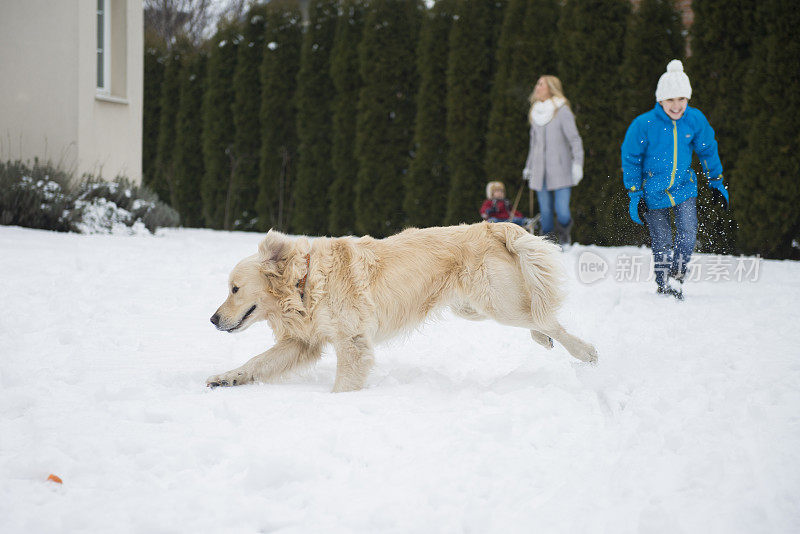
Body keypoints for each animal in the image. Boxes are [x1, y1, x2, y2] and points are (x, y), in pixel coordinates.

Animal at [206, 222, 592, 394]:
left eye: (234, 289)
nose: (212, 319)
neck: (304, 284)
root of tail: (491, 226)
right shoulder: (303, 343)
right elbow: (257, 362)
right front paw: (226, 377)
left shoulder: (353, 343)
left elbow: (343, 383)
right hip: (471, 307)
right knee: (538, 317)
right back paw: (543, 339)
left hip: (496, 304)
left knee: (548, 319)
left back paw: (586, 352)